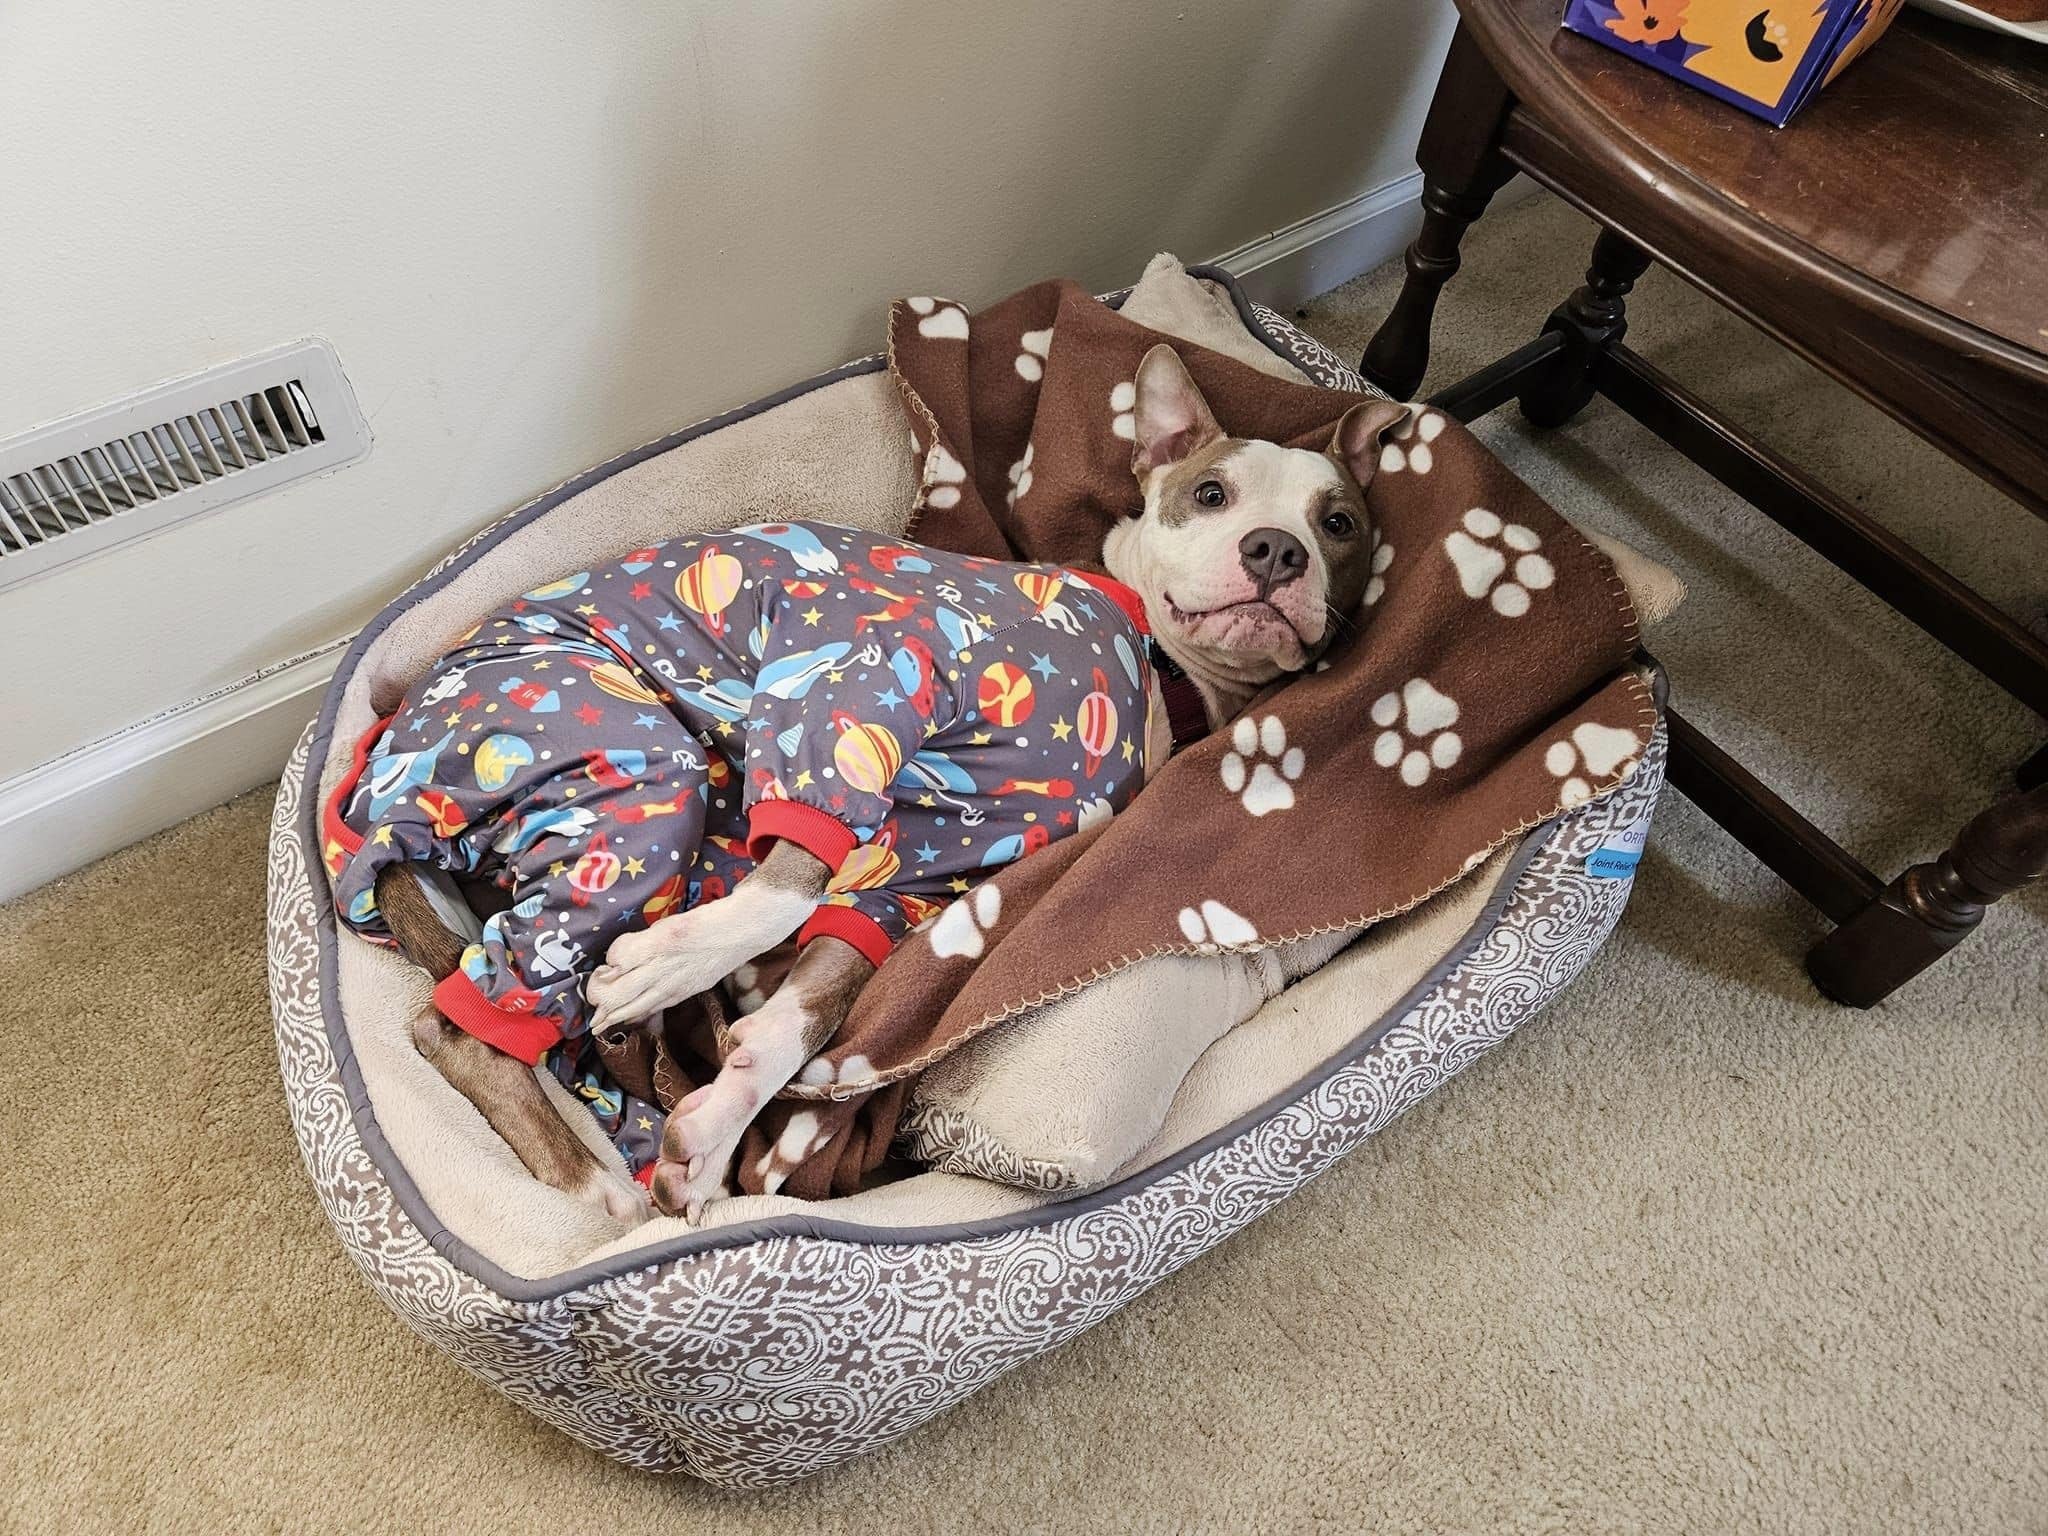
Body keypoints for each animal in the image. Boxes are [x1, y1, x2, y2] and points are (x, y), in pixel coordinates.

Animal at [348, 348, 1409, 1228]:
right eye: (1211, 492)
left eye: (1340, 524)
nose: (1277, 550)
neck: (1164, 676)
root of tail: (385, 774)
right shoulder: (866, 681)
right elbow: (792, 879)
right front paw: (673, 969)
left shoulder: (933, 874)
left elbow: (811, 1003)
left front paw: (718, 1124)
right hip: (630, 770)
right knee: (460, 1027)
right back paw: (593, 1180)